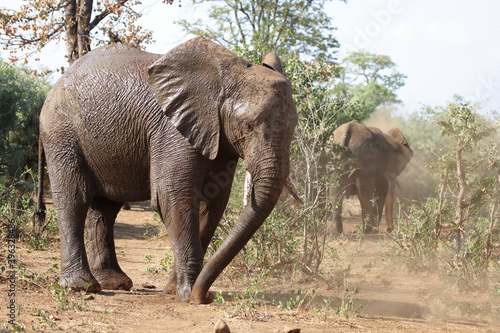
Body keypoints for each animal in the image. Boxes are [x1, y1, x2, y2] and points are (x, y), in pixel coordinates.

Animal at [39, 37, 298, 304]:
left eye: (294, 127)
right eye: (247, 125)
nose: (205, 297)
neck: (225, 77)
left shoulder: (219, 138)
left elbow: (212, 204)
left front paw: (178, 291)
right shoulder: (171, 131)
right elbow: (172, 198)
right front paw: (189, 294)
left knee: (106, 208)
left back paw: (115, 283)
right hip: (61, 133)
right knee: (74, 199)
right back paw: (81, 286)